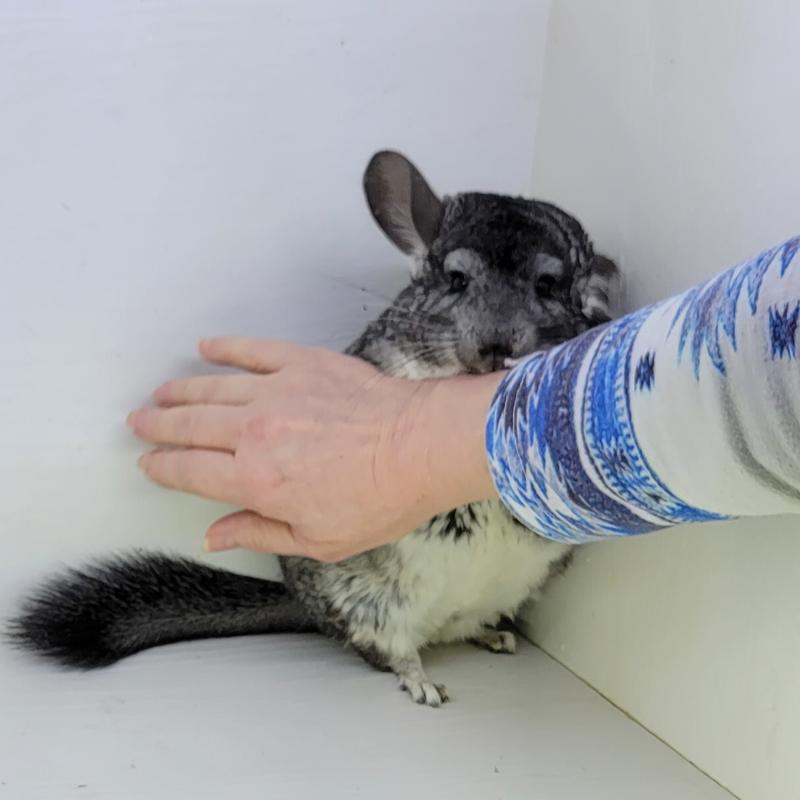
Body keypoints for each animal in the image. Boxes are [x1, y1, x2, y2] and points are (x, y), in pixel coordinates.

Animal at [9, 151, 619, 706]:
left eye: (547, 285)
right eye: (456, 277)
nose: (495, 348)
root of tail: (306, 608)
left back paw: (494, 636)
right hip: (370, 604)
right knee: (392, 652)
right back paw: (424, 684)